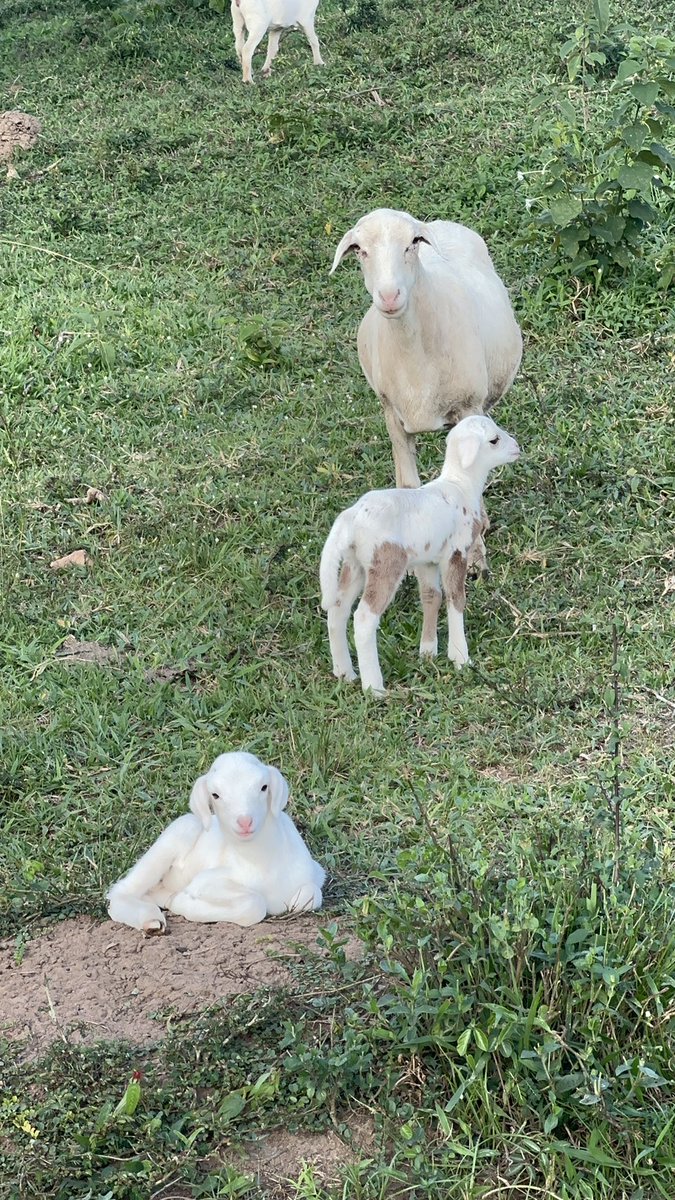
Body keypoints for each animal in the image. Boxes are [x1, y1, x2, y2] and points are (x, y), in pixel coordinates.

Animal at [107, 752, 325, 932]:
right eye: (215, 795)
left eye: (263, 787)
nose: (245, 821)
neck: (261, 861)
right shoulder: (206, 882)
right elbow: (253, 905)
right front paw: (181, 902)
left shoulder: (316, 872)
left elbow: (310, 896)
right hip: (177, 834)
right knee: (120, 892)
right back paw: (151, 920)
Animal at [319, 414, 520, 695]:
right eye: (494, 440)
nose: (517, 448)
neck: (460, 485)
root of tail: (351, 517)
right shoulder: (456, 552)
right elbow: (456, 598)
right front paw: (460, 657)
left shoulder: (427, 560)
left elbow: (432, 597)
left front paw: (428, 652)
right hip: (386, 563)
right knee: (364, 618)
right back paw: (375, 688)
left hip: (355, 564)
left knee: (338, 610)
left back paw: (345, 673)